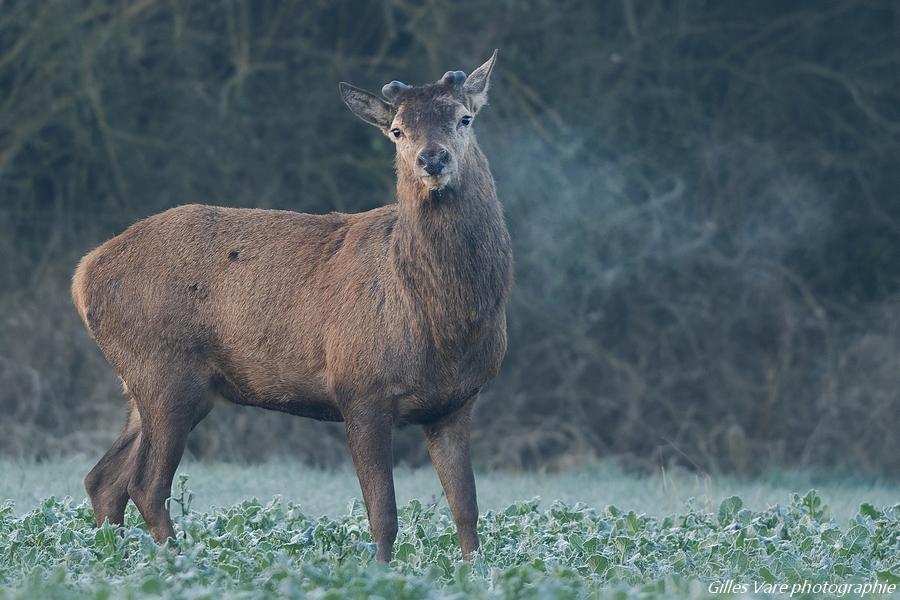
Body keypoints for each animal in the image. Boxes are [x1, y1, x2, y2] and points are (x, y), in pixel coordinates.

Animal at [72, 51, 512, 564]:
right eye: (397, 130)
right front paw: (380, 572)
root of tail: (83, 275)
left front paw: (473, 569)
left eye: (464, 118)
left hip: (142, 384)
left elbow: (467, 510)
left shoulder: (456, 403)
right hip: (166, 374)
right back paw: (181, 564)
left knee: (104, 479)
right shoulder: (360, 388)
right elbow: (383, 515)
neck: (443, 324)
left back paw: (114, 558)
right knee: (145, 484)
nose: (433, 158)